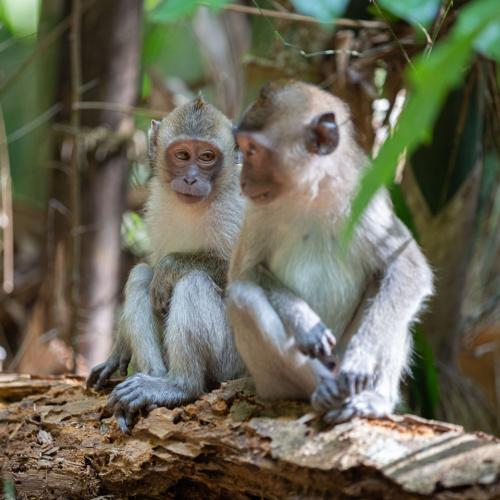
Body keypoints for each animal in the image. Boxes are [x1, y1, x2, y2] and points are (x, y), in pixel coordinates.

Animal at [89, 95, 248, 432]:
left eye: (207, 156)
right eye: (182, 154)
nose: (190, 178)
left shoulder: (239, 210)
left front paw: (172, 266)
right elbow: (150, 266)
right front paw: (119, 350)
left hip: (235, 361)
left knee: (193, 282)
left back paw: (179, 386)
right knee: (141, 277)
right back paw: (151, 381)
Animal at [227, 80, 434, 424]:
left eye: (252, 150)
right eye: (242, 148)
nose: (242, 181)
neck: (311, 193)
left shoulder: (366, 199)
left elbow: (408, 268)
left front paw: (362, 358)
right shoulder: (257, 212)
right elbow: (244, 273)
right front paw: (305, 323)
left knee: (388, 290)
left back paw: (373, 398)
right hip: (268, 379)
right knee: (243, 299)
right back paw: (324, 388)